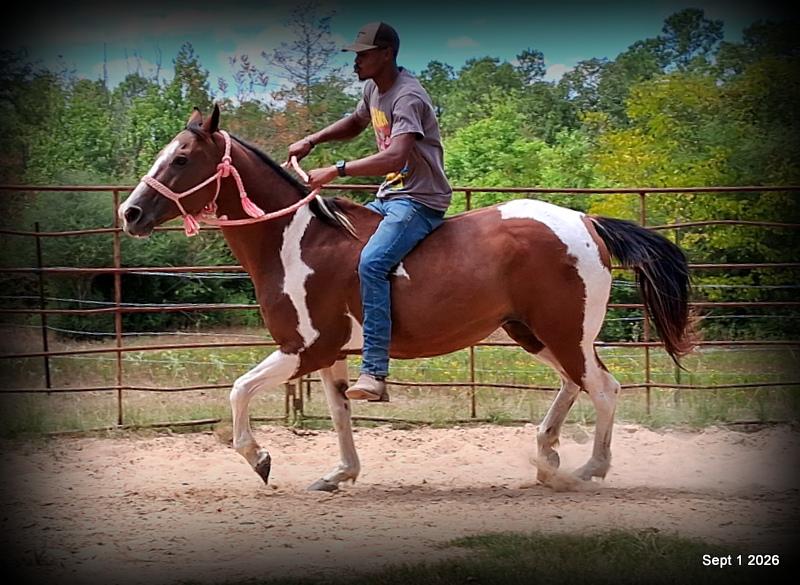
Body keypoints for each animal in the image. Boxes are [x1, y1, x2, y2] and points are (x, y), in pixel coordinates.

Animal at [118, 105, 694, 491]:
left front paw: (260, 459)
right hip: (534, 332)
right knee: (576, 383)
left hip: (562, 331)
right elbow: (339, 413)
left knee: (604, 388)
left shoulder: (303, 348)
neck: (298, 241)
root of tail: (586, 221)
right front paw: (339, 474)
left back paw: (585, 470)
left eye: (182, 159)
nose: (130, 212)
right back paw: (547, 457)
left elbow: (239, 390)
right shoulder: (331, 355)